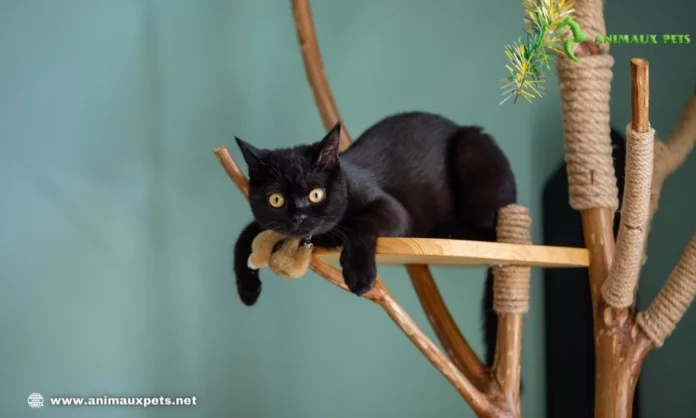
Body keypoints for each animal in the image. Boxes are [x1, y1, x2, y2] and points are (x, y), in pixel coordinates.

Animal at [234, 111, 516, 366]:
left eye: (316, 195)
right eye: (276, 200)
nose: (299, 217)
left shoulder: (394, 211)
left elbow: (358, 224)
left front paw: (358, 273)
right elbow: (243, 235)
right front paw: (247, 289)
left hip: (472, 150)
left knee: (492, 234)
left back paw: (447, 230)